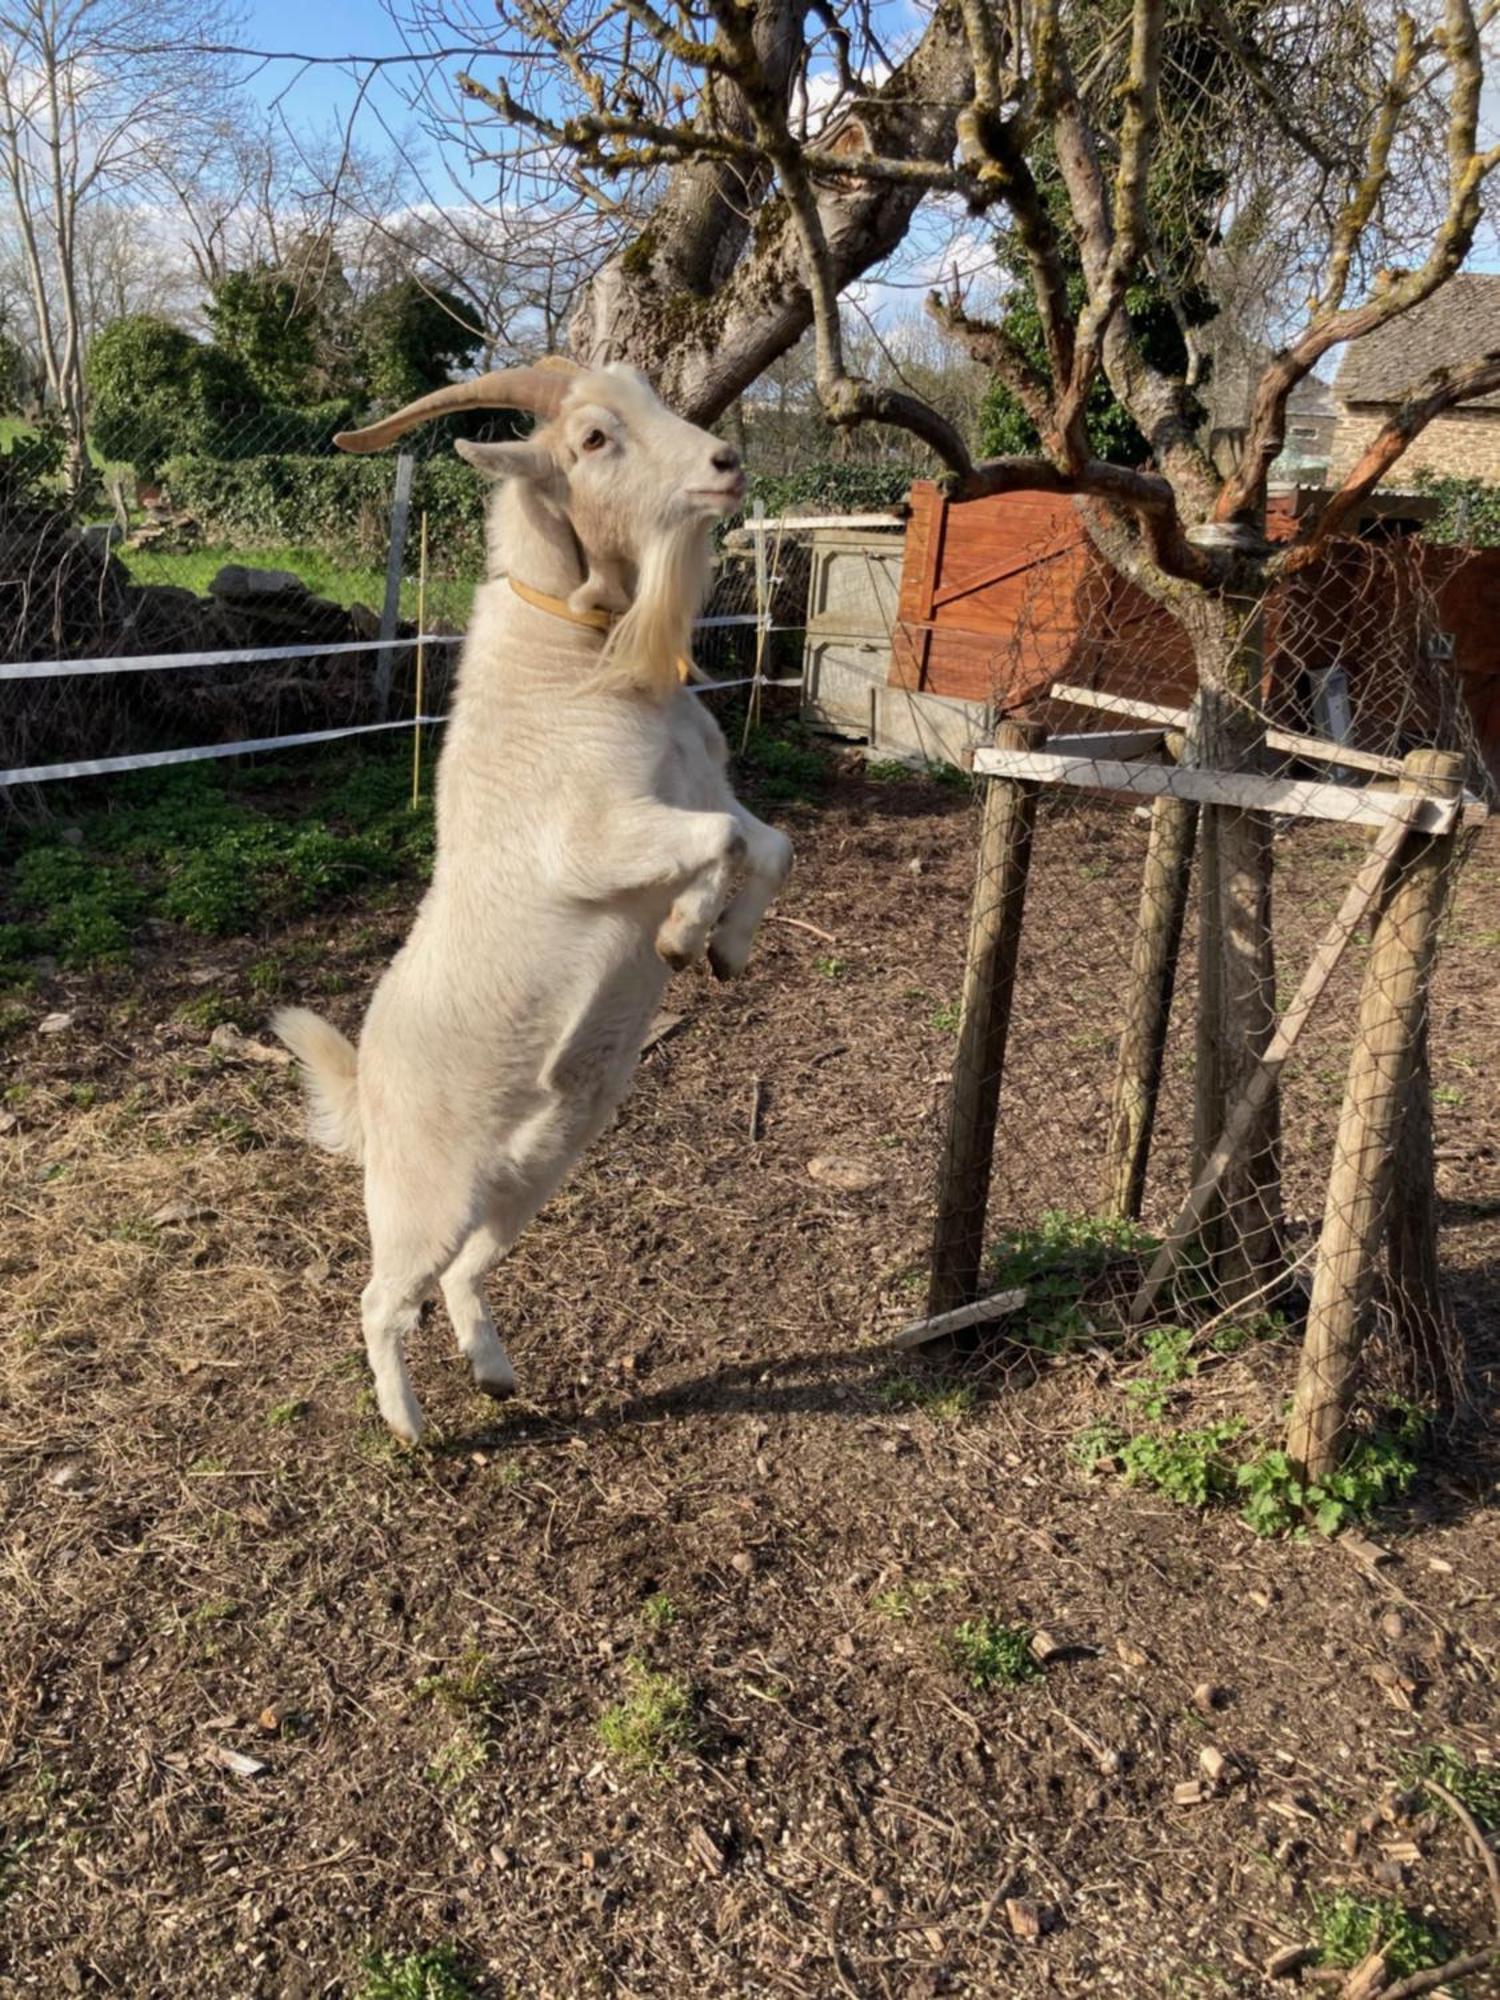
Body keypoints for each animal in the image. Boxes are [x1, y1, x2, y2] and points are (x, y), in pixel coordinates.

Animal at [280, 364, 800, 1440]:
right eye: (595, 438)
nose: (726, 463)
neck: (577, 665)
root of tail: (368, 1090)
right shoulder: (590, 839)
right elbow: (722, 842)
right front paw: (683, 932)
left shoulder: (704, 790)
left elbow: (769, 841)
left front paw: (726, 947)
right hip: (420, 1196)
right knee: (380, 1298)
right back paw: (409, 1423)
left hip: (537, 1169)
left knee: (465, 1273)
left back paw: (493, 1370)